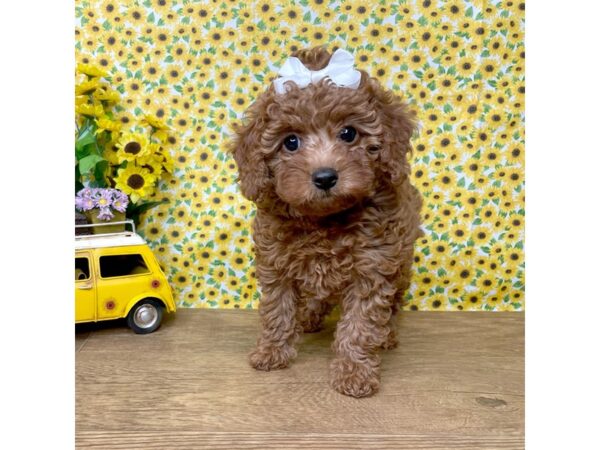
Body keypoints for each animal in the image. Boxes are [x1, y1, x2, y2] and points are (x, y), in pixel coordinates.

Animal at [230, 46, 422, 398]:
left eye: (349, 133)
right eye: (290, 142)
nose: (324, 177)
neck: (325, 220)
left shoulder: (372, 268)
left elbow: (360, 325)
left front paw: (354, 374)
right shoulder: (276, 263)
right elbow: (277, 309)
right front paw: (271, 352)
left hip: (401, 264)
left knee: (393, 305)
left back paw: (387, 336)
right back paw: (309, 318)